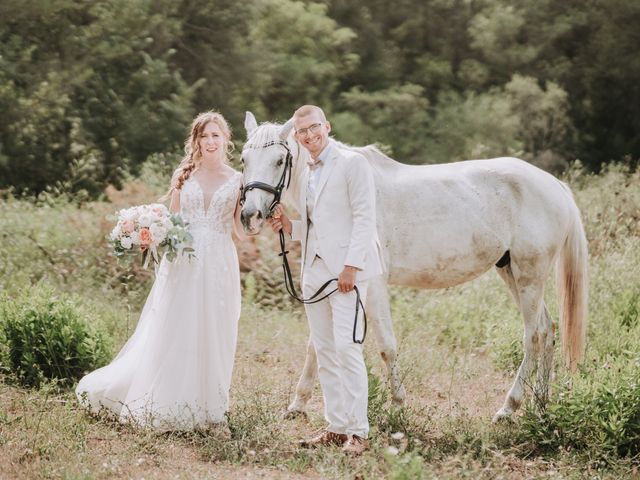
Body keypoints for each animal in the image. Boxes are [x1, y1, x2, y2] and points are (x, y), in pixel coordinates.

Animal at [241, 112, 592, 420]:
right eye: (244, 160)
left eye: (279, 160)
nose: (251, 216)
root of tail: (554, 185)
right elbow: (316, 345)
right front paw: (297, 405)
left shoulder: (370, 286)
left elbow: (386, 346)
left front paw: (398, 405)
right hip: (511, 272)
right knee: (547, 329)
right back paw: (540, 404)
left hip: (529, 275)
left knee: (533, 334)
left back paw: (509, 407)